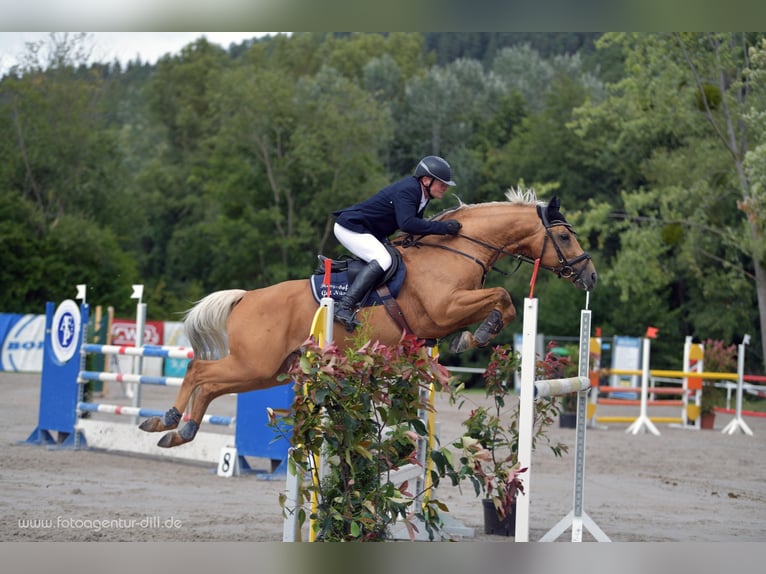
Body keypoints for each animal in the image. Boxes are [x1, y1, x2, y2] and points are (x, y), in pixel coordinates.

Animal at [139, 189, 597, 448]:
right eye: (564, 235)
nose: (590, 275)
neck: (457, 250)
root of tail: (245, 299)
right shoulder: (443, 309)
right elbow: (503, 298)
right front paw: (474, 337)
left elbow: (504, 302)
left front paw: (470, 338)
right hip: (256, 363)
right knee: (200, 372)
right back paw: (169, 420)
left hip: (266, 370)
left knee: (211, 384)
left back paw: (176, 431)